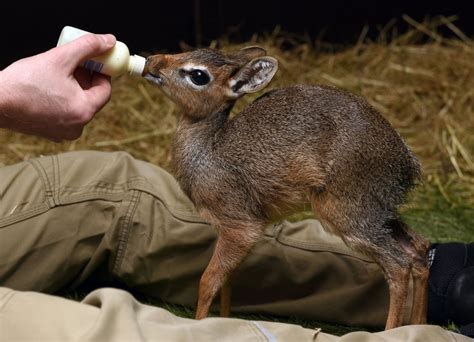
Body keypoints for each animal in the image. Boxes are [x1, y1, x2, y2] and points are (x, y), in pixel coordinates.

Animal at [143, 45, 430, 328]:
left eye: (199, 75)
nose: (152, 62)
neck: (206, 150)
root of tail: (408, 161)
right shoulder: (231, 232)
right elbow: (228, 282)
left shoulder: (241, 227)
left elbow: (208, 281)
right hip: (379, 213)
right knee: (419, 248)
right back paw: (419, 324)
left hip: (348, 217)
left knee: (398, 265)